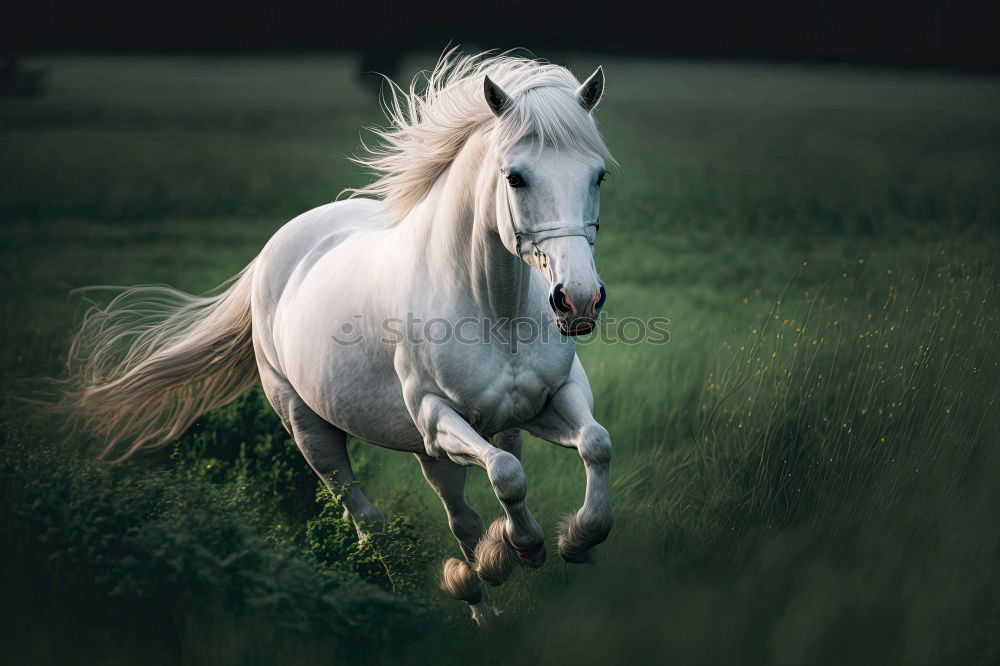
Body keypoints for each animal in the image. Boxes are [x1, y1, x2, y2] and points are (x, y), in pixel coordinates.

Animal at [64, 53, 616, 624]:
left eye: (597, 174)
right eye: (515, 177)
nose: (577, 300)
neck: (493, 308)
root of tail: (279, 246)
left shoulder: (546, 401)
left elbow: (594, 444)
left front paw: (574, 539)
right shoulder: (437, 418)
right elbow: (508, 475)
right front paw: (525, 548)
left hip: (443, 445)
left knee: (460, 513)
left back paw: (484, 586)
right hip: (313, 430)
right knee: (370, 518)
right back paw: (452, 586)